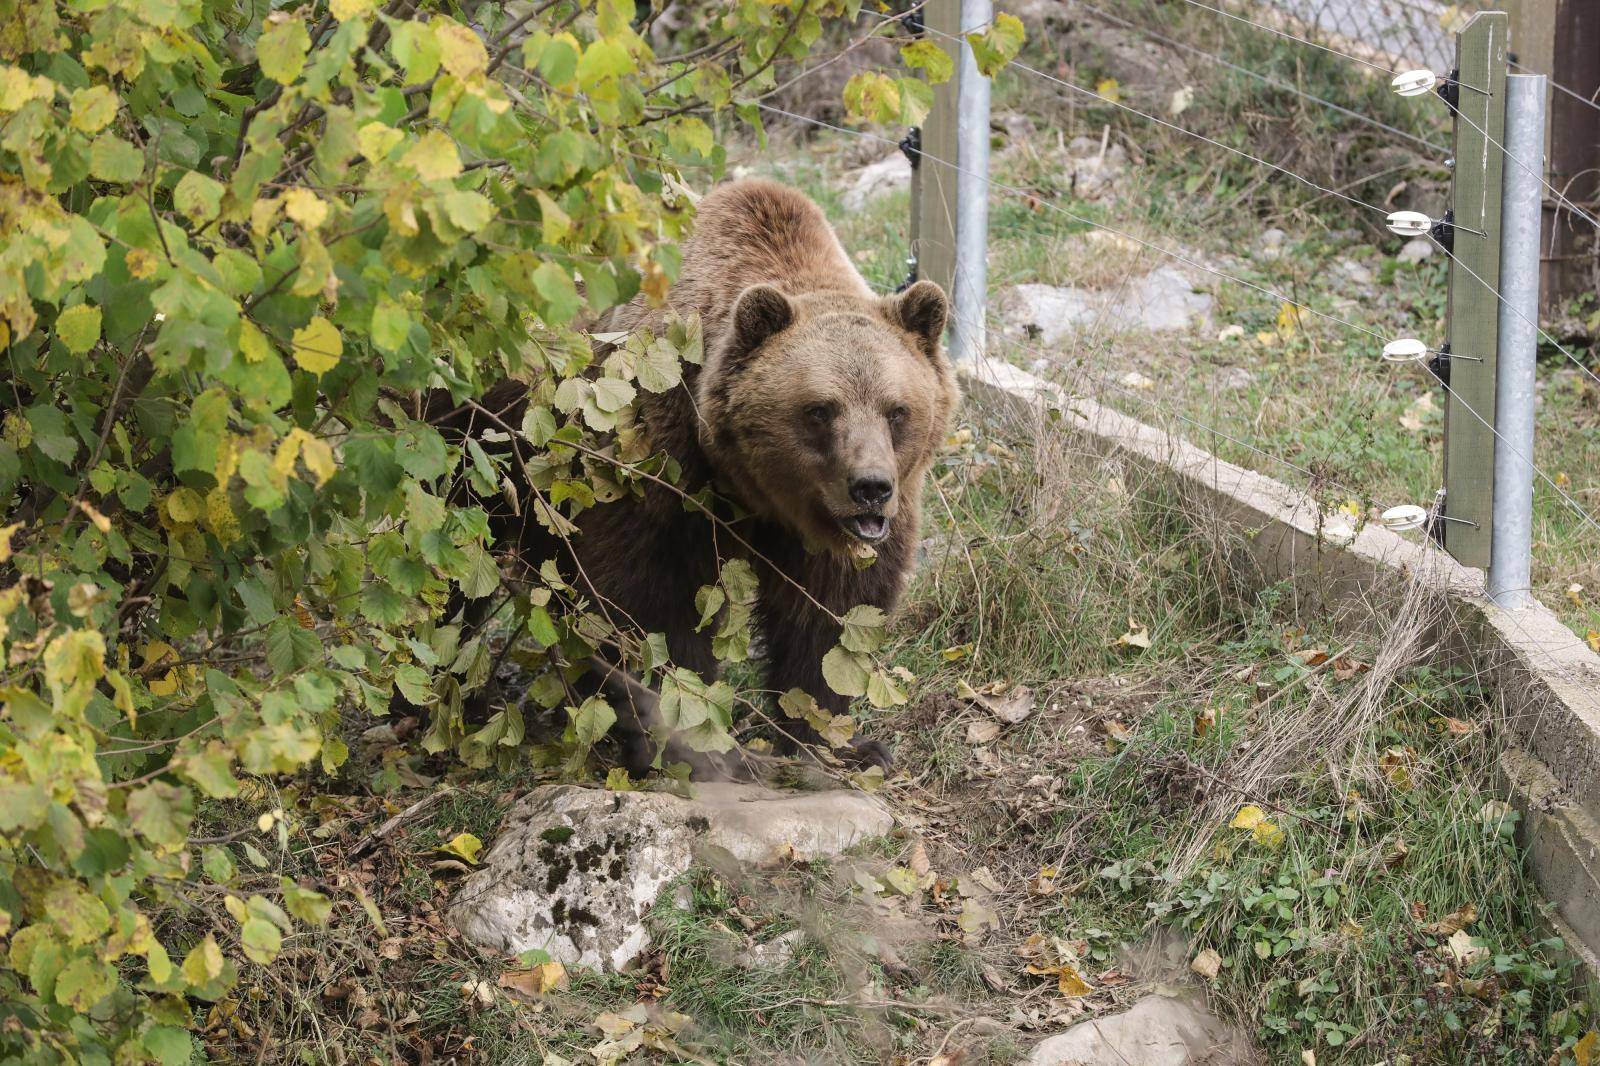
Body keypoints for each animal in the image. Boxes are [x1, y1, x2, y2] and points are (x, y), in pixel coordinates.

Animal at [470, 176, 960, 771]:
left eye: (897, 410)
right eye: (820, 410)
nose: (870, 488)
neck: (754, 488)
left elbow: (831, 618)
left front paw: (841, 743)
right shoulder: (656, 464)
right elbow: (651, 604)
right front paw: (689, 738)